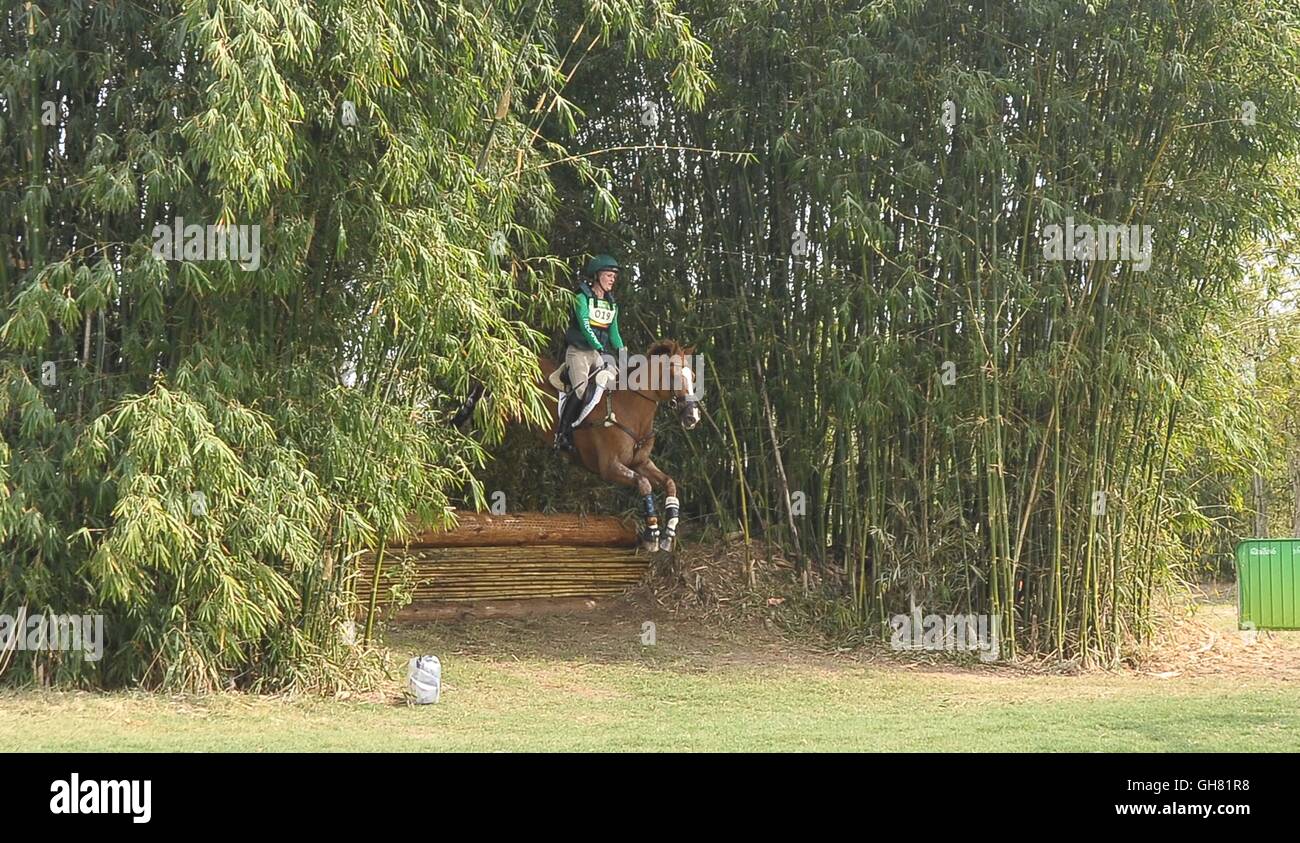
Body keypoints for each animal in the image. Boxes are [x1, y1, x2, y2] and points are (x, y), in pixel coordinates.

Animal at [454, 338, 702, 556]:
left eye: (693, 377)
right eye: (673, 376)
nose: (692, 417)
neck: (632, 410)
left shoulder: (640, 462)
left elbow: (669, 483)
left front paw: (669, 533)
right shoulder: (609, 467)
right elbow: (644, 484)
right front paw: (651, 534)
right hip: (498, 414)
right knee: (477, 428)